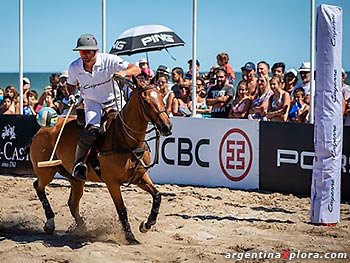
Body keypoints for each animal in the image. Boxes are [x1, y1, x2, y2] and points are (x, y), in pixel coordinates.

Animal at [29, 76, 172, 245]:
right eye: (145, 101)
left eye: (161, 97)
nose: (166, 127)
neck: (125, 139)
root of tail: (41, 129)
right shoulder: (112, 182)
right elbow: (121, 210)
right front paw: (130, 237)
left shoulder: (140, 177)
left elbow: (157, 196)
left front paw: (146, 225)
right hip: (46, 170)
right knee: (38, 186)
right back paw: (50, 223)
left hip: (75, 179)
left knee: (72, 203)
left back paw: (83, 228)